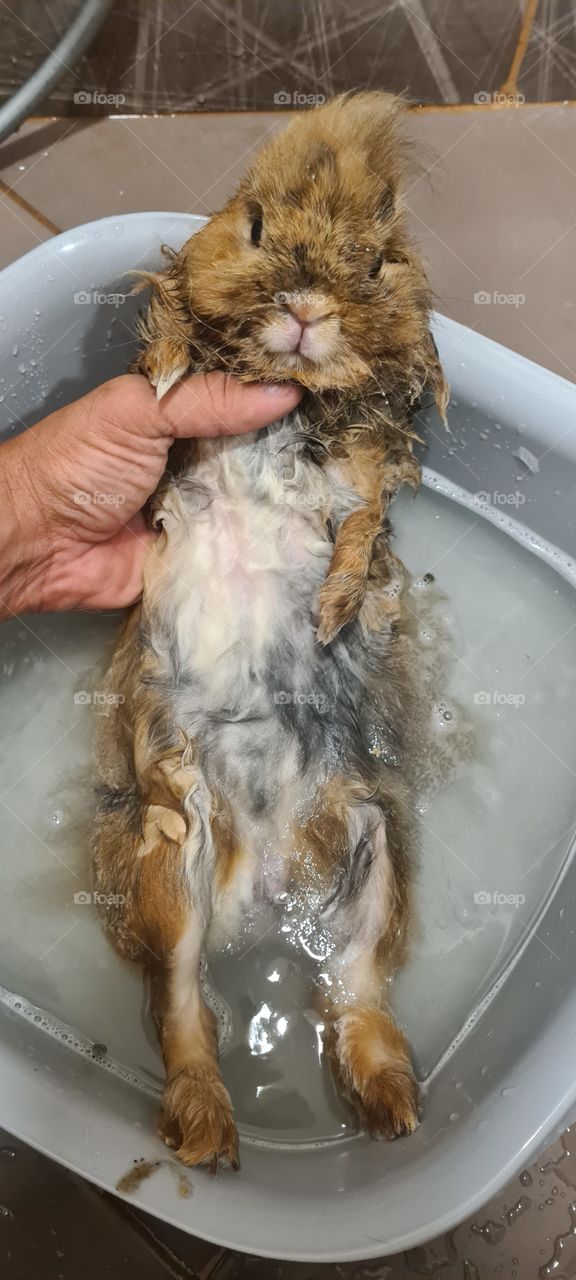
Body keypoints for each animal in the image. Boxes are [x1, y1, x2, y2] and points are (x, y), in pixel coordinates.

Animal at [92, 91, 449, 1171]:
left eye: (378, 261)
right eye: (252, 223)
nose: (305, 306)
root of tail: (265, 887)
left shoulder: (365, 477)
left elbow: (362, 525)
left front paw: (333, 610)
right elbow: (167, 350)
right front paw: (170, 372)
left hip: (374, 853)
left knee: (354, 993)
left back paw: (390, 1104)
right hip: (177, 851)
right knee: (183, 1008)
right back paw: (209, 1132)